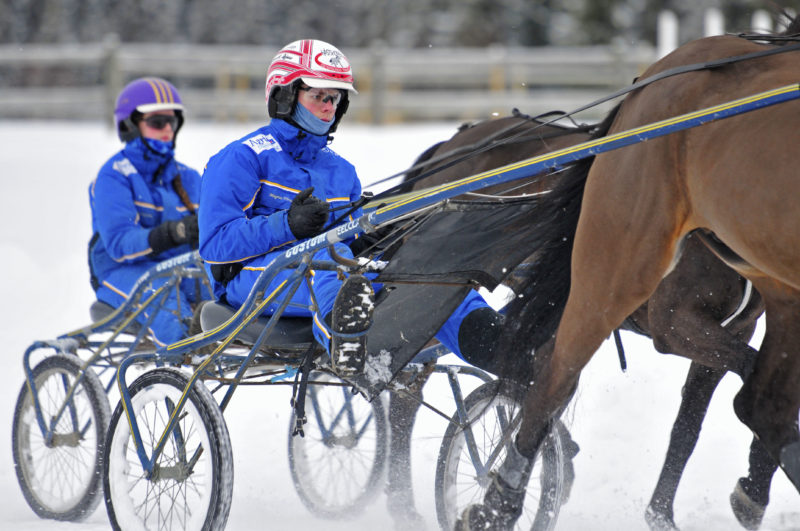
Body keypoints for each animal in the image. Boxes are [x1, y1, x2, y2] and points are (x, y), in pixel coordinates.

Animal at [456, 22, 800, 531]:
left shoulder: (738, 324)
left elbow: (689, 426)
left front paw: (669, 511)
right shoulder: (675, 324)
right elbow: (742, 378)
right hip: (614, 270)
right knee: (548, 375)